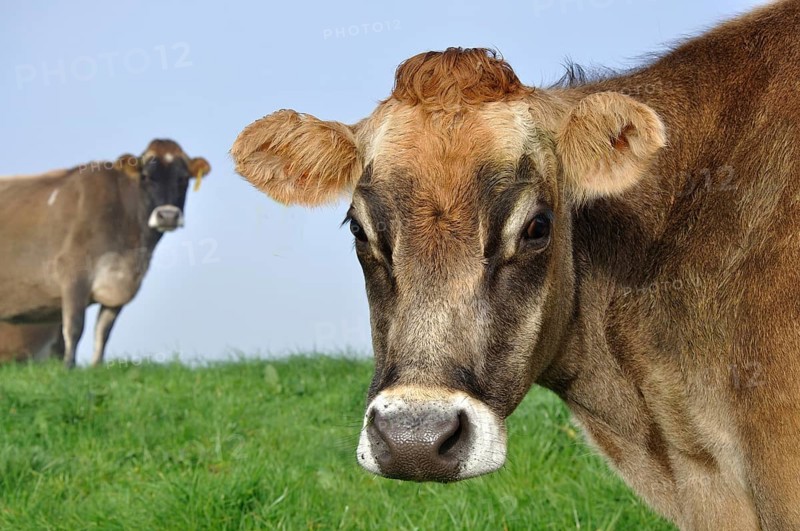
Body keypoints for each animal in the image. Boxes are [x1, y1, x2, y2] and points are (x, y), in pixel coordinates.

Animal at [0, 140, 210, 368]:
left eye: (184, 178)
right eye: (145, 176)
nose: (168, 216)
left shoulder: (120, 287)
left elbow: (103, 332)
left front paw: (96, 367)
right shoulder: (73, 273)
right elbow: (74, 327)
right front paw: (68, 368)